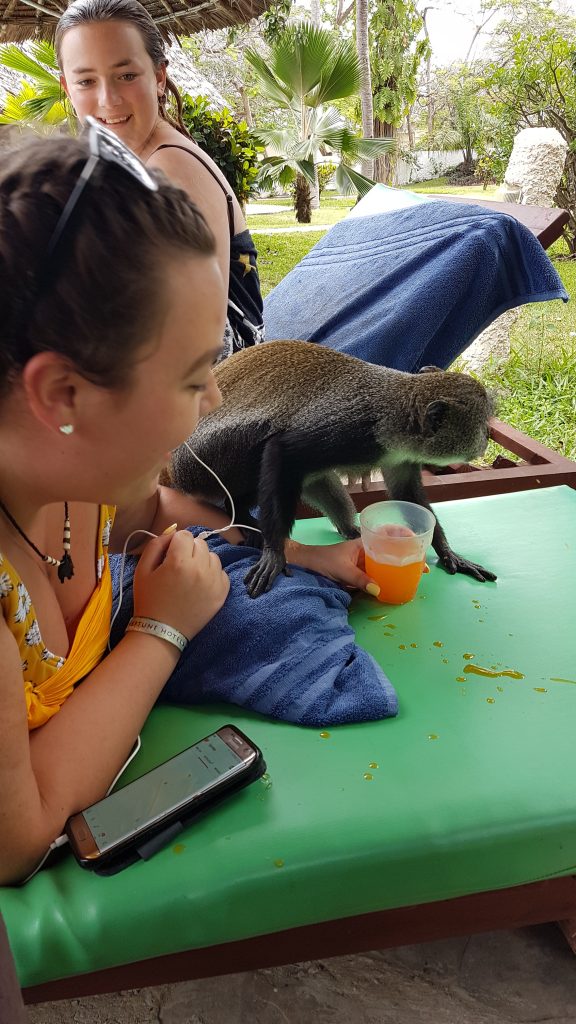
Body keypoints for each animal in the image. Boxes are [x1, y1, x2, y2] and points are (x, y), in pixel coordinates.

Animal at [169, 339, 494, 598]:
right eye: (482, 424)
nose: (486, 438)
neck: (395, 407)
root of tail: (173, 469)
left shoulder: (399, 456)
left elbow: (409, 496)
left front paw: (448, 553)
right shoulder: (354, 431)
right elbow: (281, 449)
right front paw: (274, 551)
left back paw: (350, 529)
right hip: (202, 466)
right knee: (260, 441)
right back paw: (237, 510)